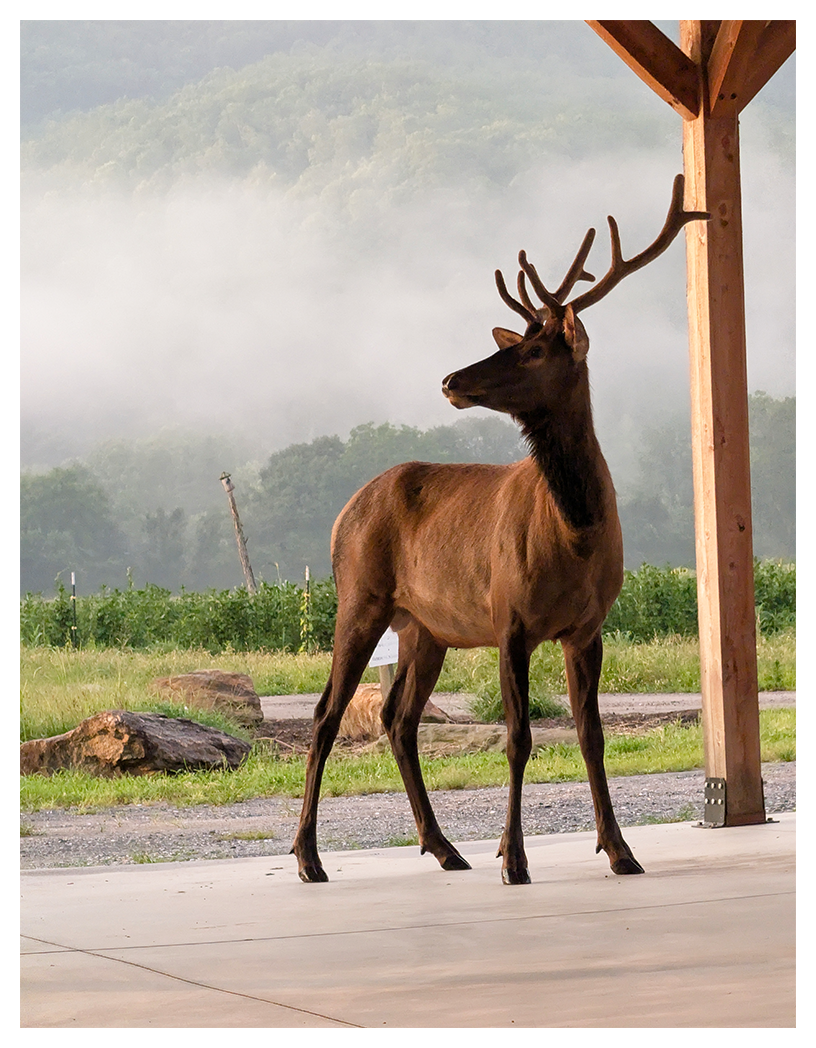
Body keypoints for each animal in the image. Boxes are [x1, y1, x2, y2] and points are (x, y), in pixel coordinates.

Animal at [292, 175, 708, 884]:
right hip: (360, 595)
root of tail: (344, 511)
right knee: (325, 714)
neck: (575, 535)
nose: (450, 379)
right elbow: (518, 737)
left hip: (424, 626)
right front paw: (514, 858)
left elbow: (590, 734)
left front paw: (621, 850)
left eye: (534, 349)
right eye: (509, 341)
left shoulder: (588, 626)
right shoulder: (508, 614)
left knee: (398, 719)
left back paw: (444, 847)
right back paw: (308, 857)